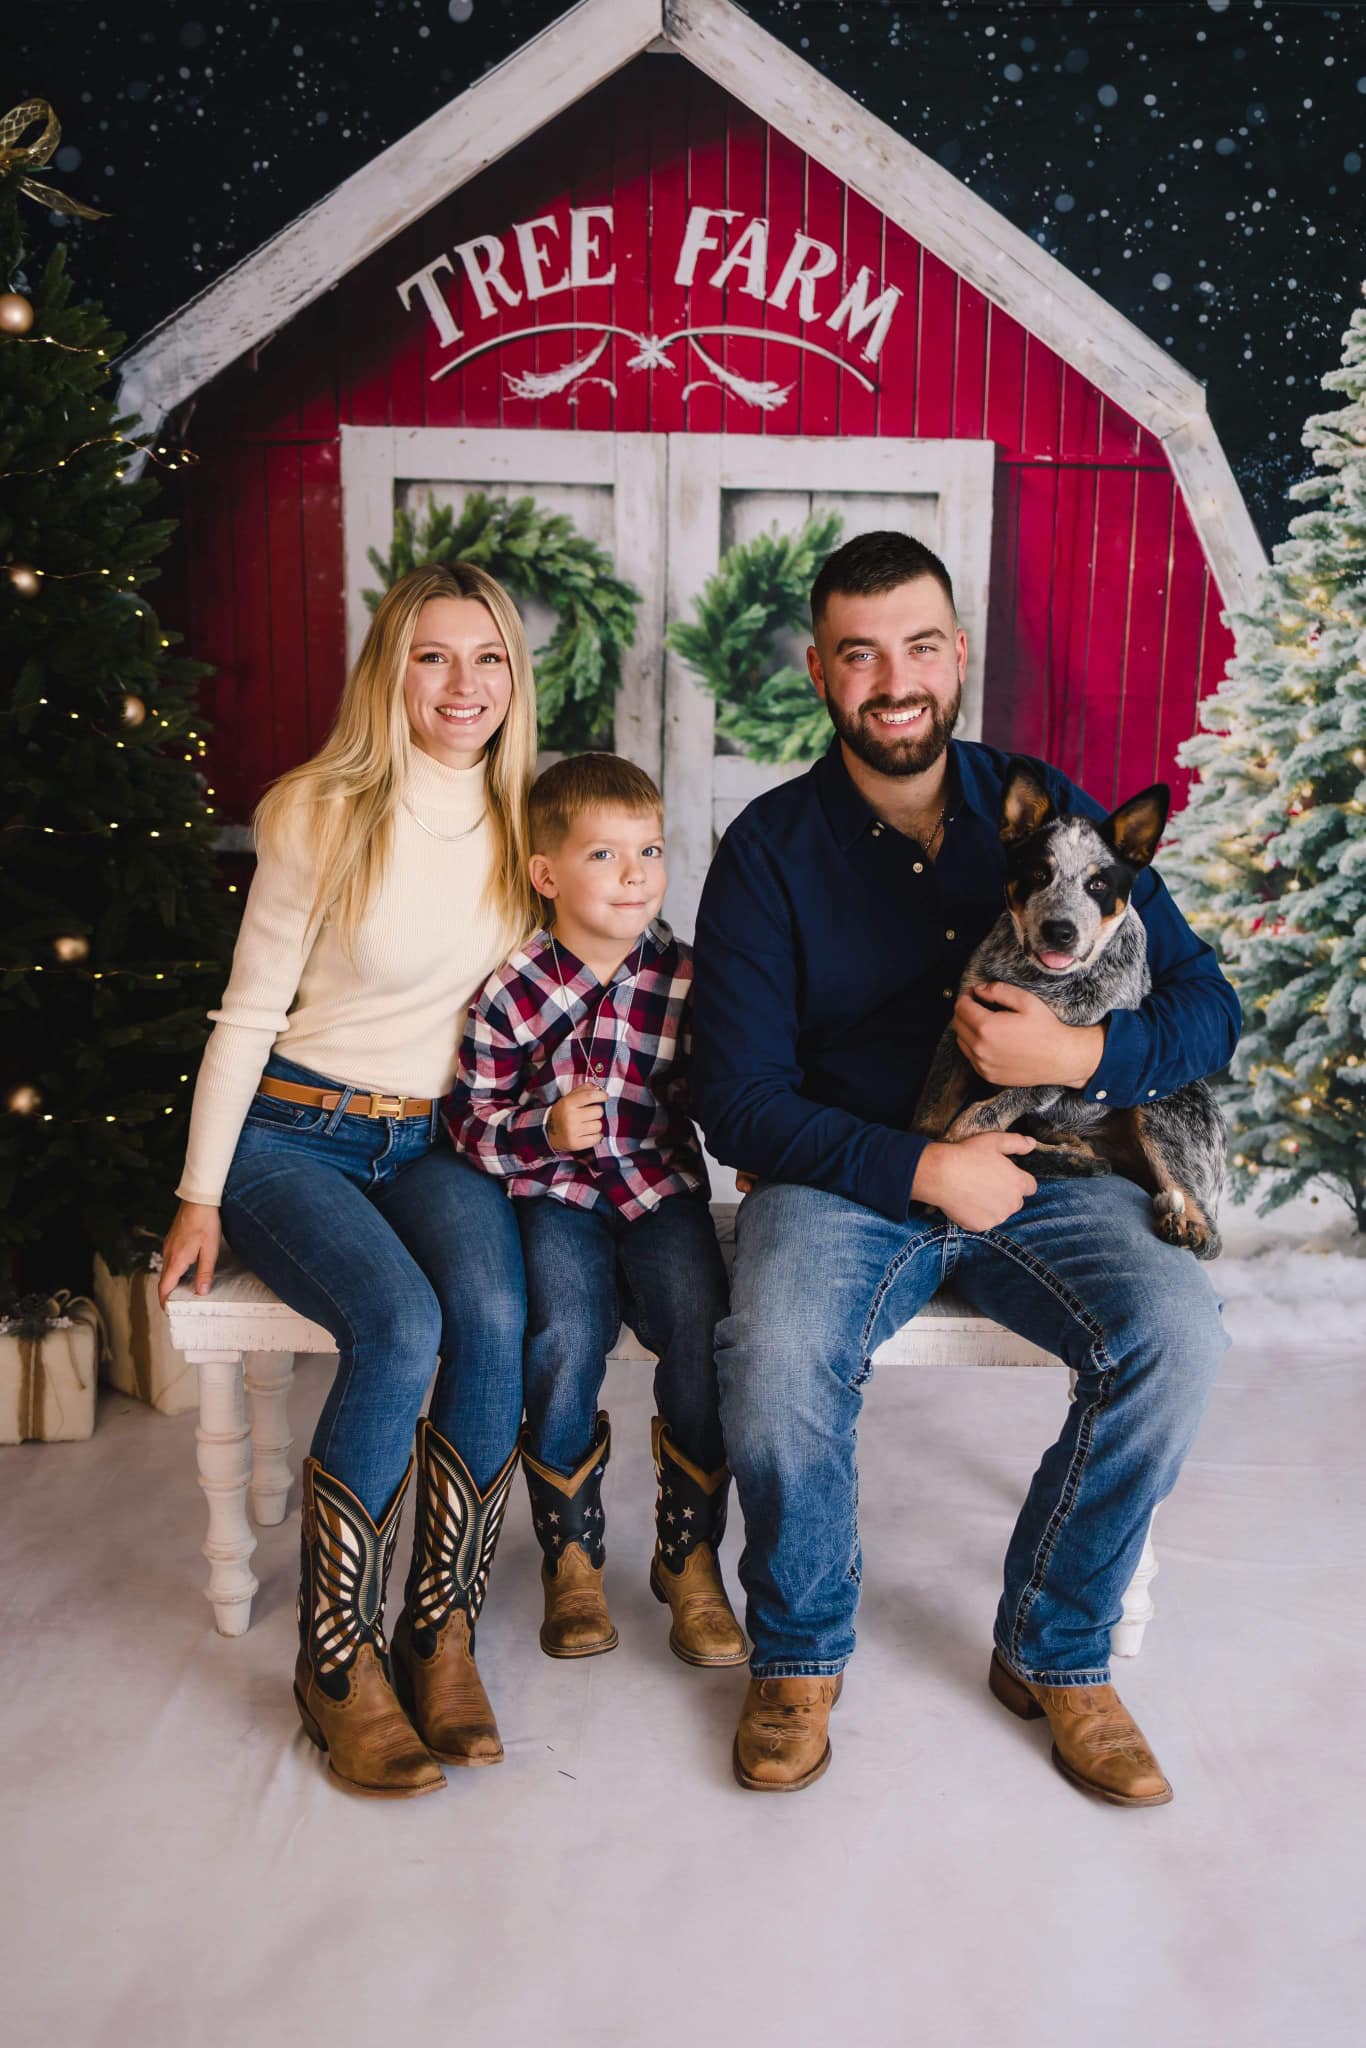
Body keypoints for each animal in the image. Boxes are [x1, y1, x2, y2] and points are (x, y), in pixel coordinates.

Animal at [917, 761, 1228, 1253]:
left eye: (1098, 884)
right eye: (1038, 874)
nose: (1060, 931)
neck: (1039, 982)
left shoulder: (1052, 1065)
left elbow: (976, 1117)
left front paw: (955, 1168)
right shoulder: (959, 1030)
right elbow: (930, 1113)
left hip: (1163, 1106)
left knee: (1210, 1234)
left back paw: (1185, 1226)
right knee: (1085, 1155)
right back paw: (1065, 1156)